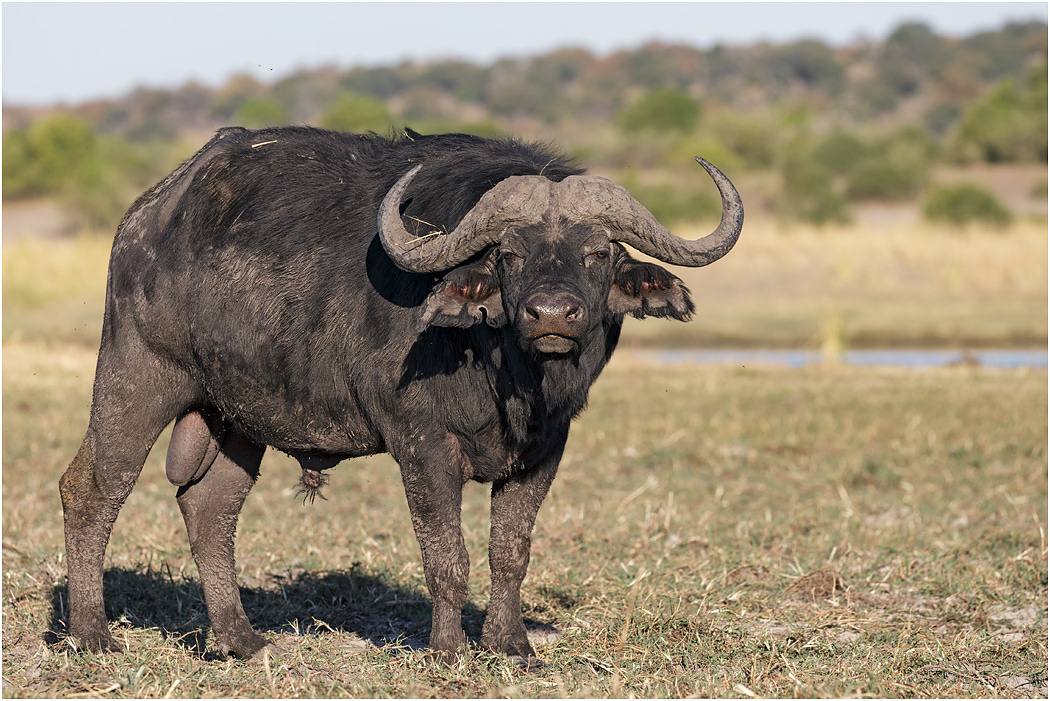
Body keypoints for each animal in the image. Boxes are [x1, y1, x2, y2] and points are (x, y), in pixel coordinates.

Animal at [60, 126, 743, 666]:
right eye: (510, 254)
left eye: (598, 253)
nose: (553, 314)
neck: (508, 376)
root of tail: (150, 211)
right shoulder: (423, 446)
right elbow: (447, 555)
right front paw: (448, 649)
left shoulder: (545, 451)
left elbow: (510, 552)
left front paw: (512, 645)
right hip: (135, 376)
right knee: (92, 488)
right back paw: (92, 635)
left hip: (236, 419)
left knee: (209, 507)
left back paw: (239, 640)